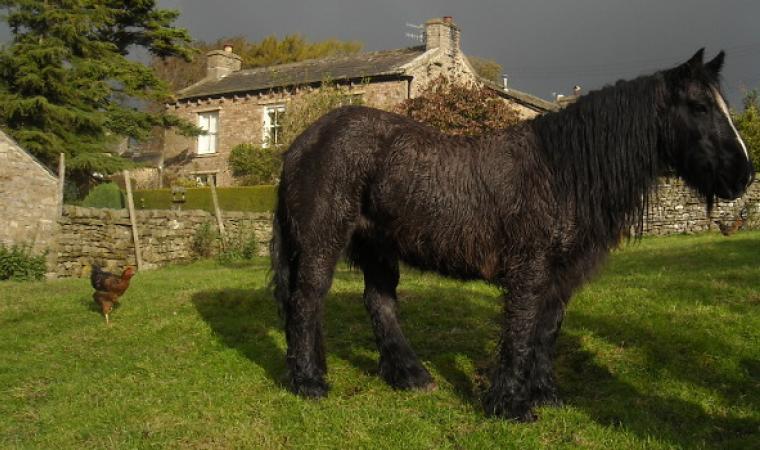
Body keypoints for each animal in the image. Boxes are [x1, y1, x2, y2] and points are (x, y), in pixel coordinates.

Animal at [270, 49, 754, 422]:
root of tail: (303, 141)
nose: (744, 175)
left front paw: (545, 395)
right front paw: (510, 405)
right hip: (323, 241)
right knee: (307, 300)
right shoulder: (529, 271)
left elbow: (545, 331)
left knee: (379, 302)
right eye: (699, 107)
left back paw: (411, 377)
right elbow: (520, 330)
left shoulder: (561, 277)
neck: (564, 170)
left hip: (377, 246)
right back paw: (309, 382)